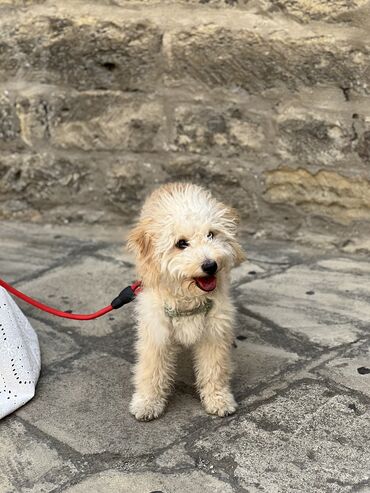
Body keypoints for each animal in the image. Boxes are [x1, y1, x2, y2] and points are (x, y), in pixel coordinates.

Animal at [127, 183, 246, 420]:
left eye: (211, 234)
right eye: (181, 243)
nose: (210, 265)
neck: (188, 298)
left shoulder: (214, 331)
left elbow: (214, 369)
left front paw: (218, 399)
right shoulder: (156, 332)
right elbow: (151, 369)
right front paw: (147, 402)